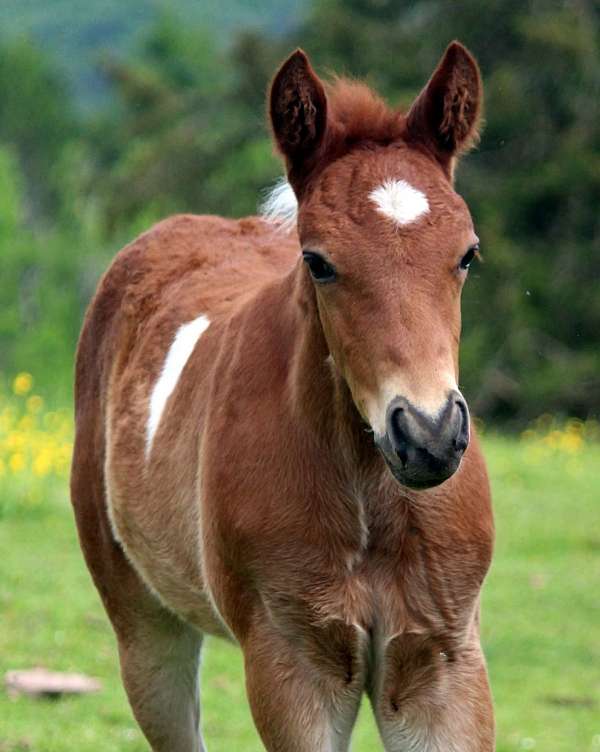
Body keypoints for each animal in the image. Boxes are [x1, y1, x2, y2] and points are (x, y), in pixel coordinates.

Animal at [71, 41, 495, 751]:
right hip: (144, 629)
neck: (370, 496)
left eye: (467, 255)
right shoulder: (292, 665)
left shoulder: (443, 663)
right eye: (318, 262)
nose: (429, 436)